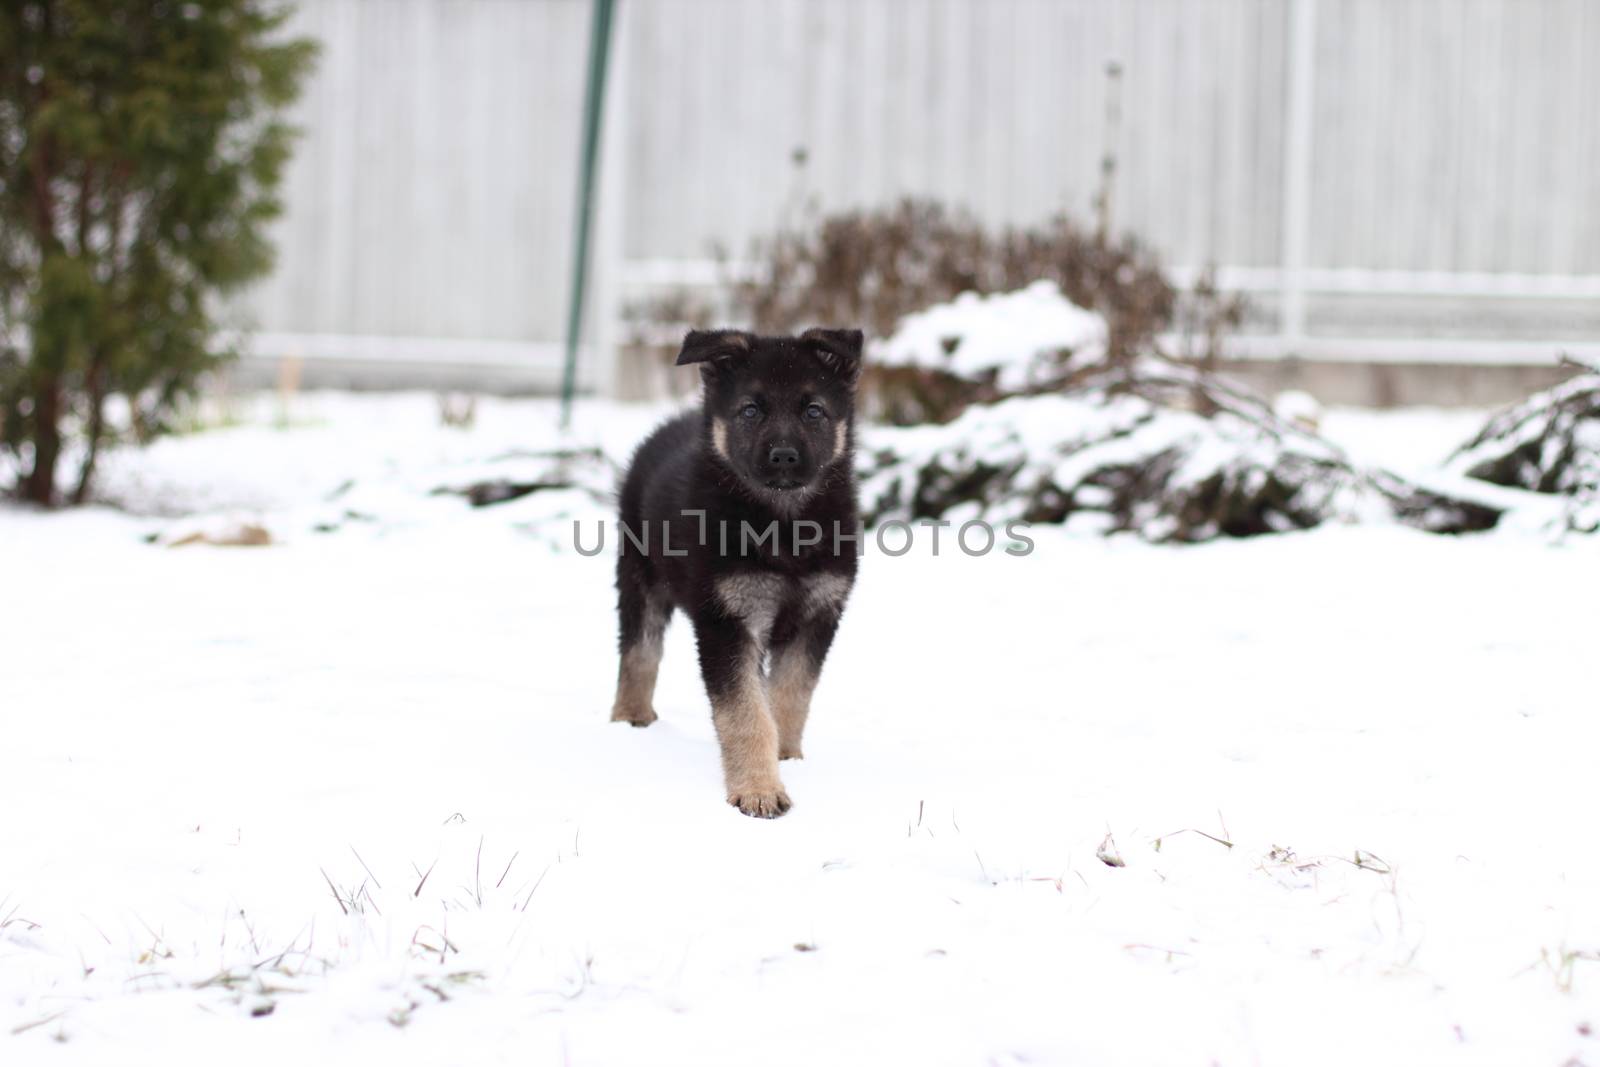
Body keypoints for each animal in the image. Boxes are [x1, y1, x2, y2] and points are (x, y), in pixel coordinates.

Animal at [611, 326, 864, 819]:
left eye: (813, 410)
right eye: (750, 410)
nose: (784, 457)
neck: (782, 525)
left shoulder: (818, 615)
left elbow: (789, 697)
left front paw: (787, 758)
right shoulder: (726, 620)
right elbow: (746, 713)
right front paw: (758, 790)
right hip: (640, 575)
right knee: (639, 652)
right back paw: (630, 722)